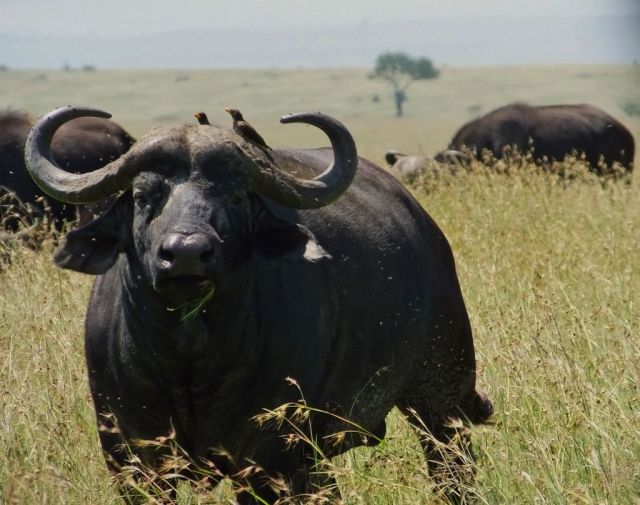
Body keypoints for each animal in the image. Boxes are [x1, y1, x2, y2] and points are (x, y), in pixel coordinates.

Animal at [25, 106, 492, 504]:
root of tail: (424, 226)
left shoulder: (270, 457)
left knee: (452, 469)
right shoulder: (132, 458)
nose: (187, 253)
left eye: (235, 196)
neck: (188, 359)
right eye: (143, 196)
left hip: (441, 396)